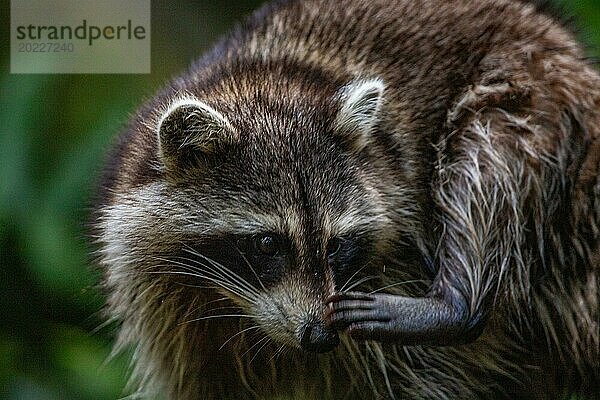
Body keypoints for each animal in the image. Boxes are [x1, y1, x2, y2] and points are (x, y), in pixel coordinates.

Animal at [94, 0, 600, 398]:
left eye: (337, 245)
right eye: (267, 244)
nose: (319, 336)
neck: (262, 79)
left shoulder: (398, 260)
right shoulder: (171, 314)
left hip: (534, 99)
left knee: (486, 154)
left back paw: (457, 302)